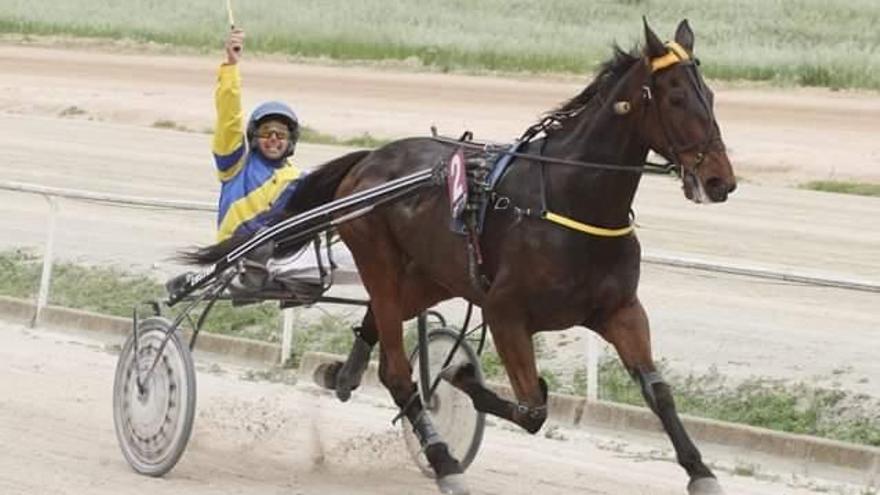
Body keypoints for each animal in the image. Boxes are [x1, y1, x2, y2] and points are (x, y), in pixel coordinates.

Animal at [187, 19, 736, 495]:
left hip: (433, 276)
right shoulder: (506, 311)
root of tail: (369, 159)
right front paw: (460, 376)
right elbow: (532, 407)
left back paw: (343, 374)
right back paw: (443, 459)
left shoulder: (620, 310)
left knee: (380, 331)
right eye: (677, 97)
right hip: (378, 259)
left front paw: (701, 470)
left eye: (710, 95)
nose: (720, 181)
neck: (568, 200)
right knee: (396, 371)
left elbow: (658, 392)